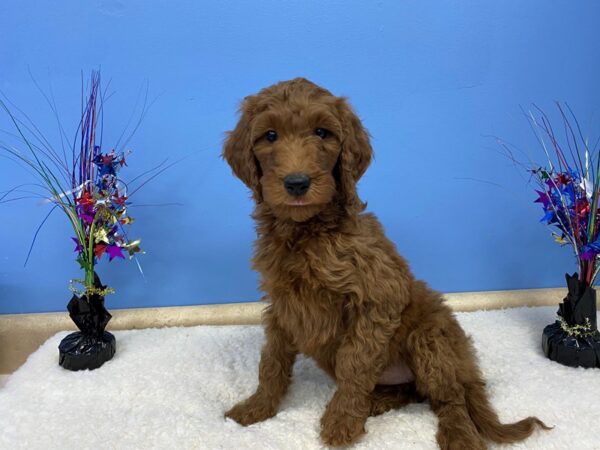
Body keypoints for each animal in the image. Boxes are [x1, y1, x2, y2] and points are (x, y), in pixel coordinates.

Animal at [221, 79, 548, 448]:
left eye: (322, 133)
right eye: (270, 136)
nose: (297, 182)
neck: (307, 232)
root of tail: (468, 368)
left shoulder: (377, 299)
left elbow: (354, 363)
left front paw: (341, 421)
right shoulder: (282, 304)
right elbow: (272, 361)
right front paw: (257, 407)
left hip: (431, 339)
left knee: (448, 398)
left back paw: (459, 435)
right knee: (414, 392)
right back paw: (376, 402)